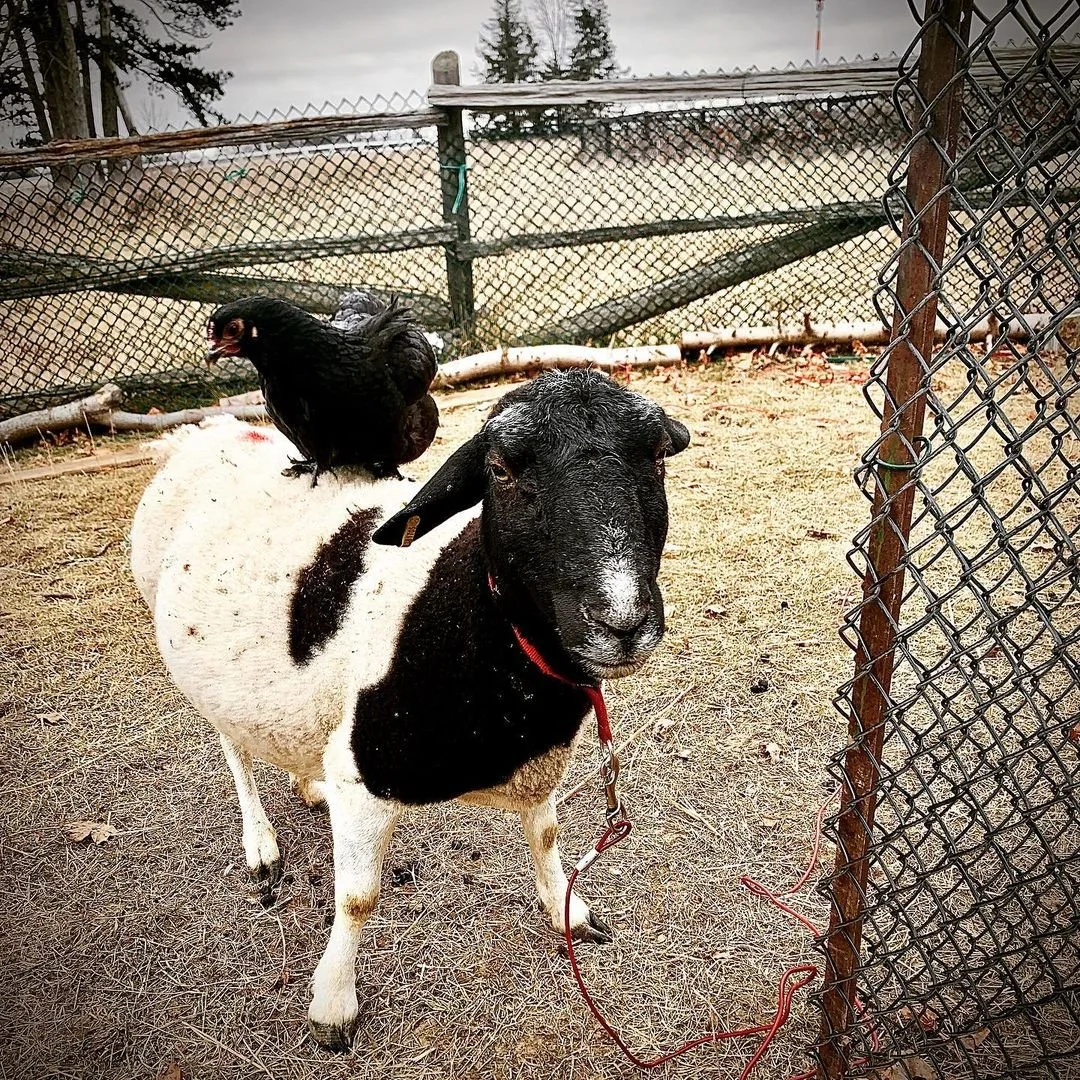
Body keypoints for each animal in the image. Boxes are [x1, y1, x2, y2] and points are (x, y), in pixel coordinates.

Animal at [129, 369, 690, 1050]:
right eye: (500, 469)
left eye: (657, 459)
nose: (623, 622)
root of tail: (207, 431)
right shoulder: (363, 777)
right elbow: (358, 898)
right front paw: (333, 1002)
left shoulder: (537, 767)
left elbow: (547, 833)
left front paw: (567, 910)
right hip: (203, 673)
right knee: (234, 748)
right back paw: (259, 841)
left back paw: (306, 785)